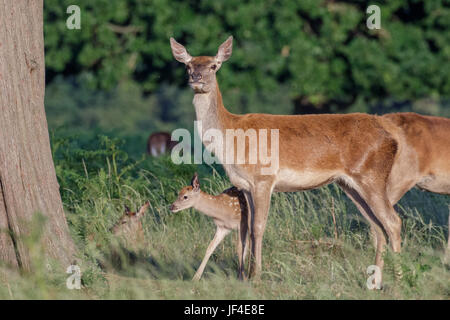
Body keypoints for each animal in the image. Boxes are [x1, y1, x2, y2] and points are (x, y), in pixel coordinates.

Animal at [171, 36, 450, 286]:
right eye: (188, 65)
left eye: (214, 65)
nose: (197, 78)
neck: (231, 136)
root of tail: (391, 135)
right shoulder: (245, 185)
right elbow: (247, 228)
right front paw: (245, 276)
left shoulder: (264, 178)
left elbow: (259, 226)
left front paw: (257, 277)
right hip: (350, 184)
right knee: (377, 226)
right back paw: (375, 282)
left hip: (372, 175)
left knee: (393, 222)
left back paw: (399, 282)